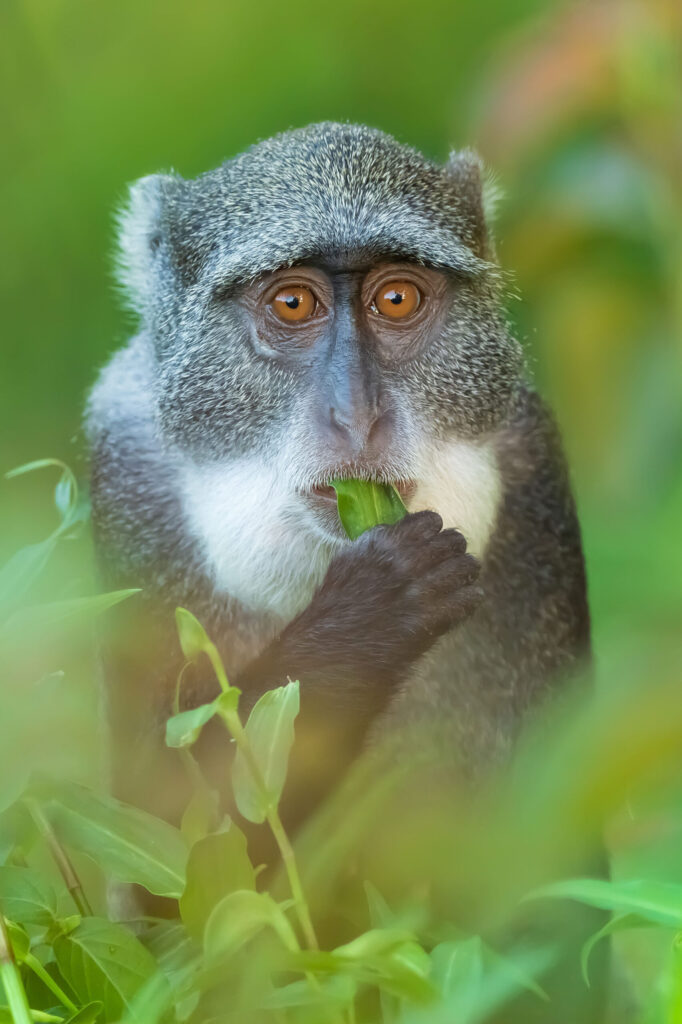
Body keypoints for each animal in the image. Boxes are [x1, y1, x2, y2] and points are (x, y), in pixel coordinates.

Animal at [86, 123, 604, 1021]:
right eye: (292, 303)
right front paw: (375, 608)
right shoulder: (127, 472)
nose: (356, 414)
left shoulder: (532, 465)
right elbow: (179, 874)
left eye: (395, 300)